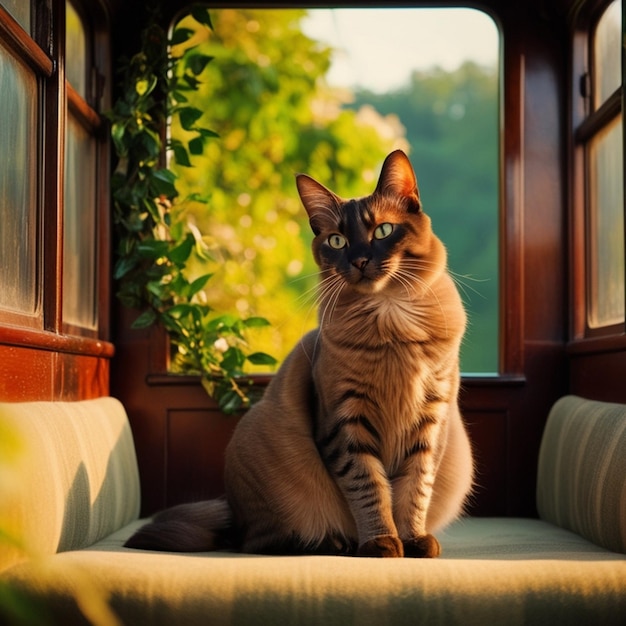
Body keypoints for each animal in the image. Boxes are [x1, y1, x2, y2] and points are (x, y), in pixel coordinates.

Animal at [124, 150, 470, 556]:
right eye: (337, 240)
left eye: (383, 231)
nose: (360, 261)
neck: (390, 320)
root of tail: (232, 514)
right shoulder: (346, 421)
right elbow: (371, 489)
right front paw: (382, 544)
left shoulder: (430, 419)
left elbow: (413, 491)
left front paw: (413, 541)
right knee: (258, 542)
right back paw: (336, 544)